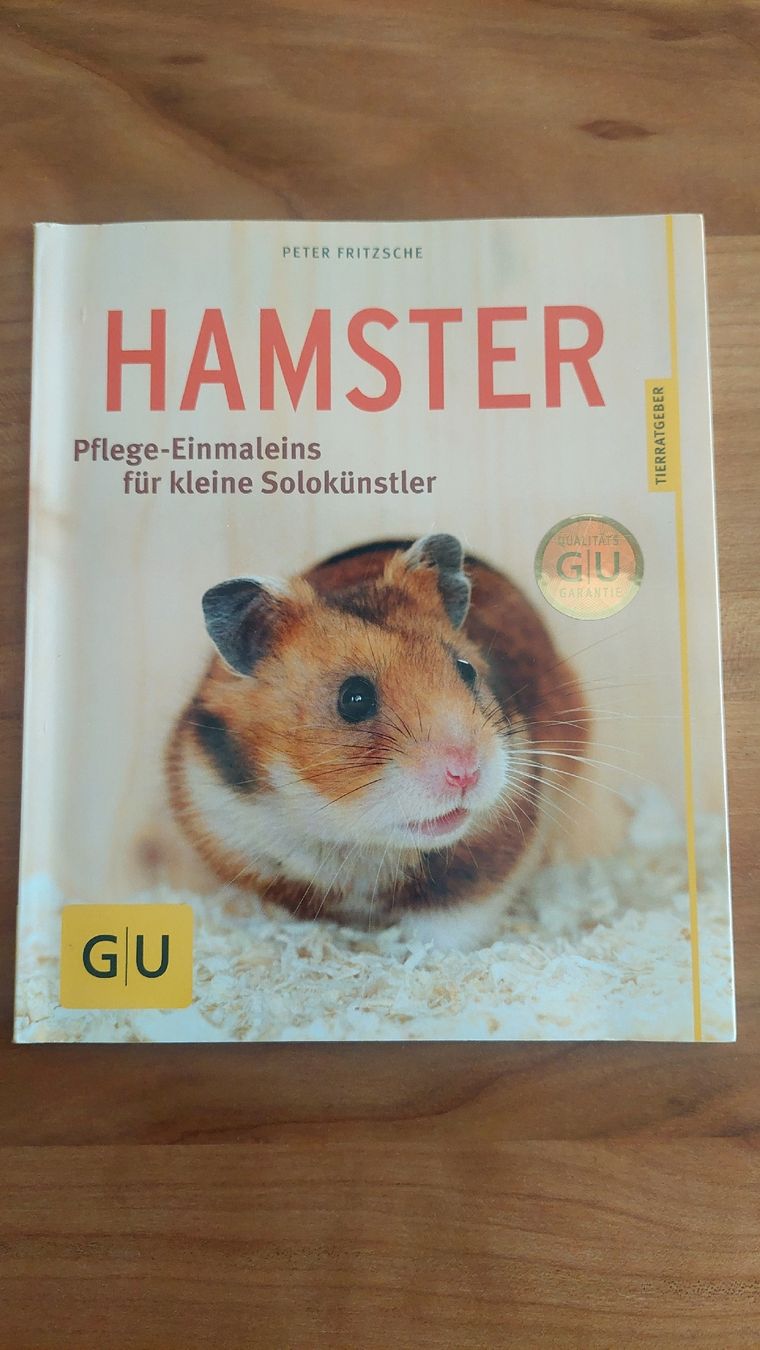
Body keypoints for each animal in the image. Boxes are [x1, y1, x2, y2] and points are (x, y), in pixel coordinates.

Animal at [167, 535, 587, 951]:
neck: (352, 836)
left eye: (466, 670)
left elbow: (449, 927)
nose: (466, 774)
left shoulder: (483, 865)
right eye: (354, 698)